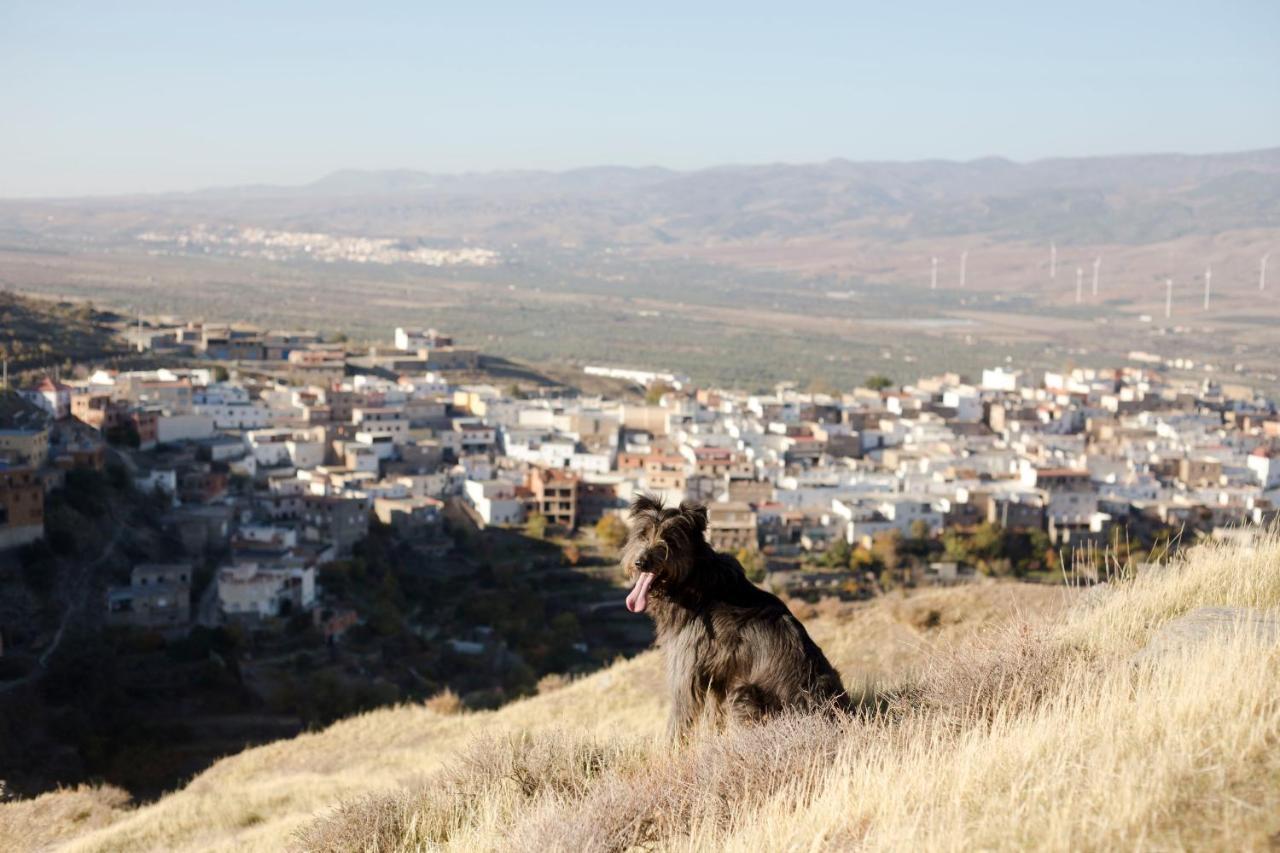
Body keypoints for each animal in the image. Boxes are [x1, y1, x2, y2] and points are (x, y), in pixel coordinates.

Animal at [622, 494, 849, 732]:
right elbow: (715, 716)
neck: (694, 582)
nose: (641, 562)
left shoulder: (686, 671)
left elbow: (679, 720)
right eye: (643, 534)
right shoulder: (716, 679)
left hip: (744, 693)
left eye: (670, 539)